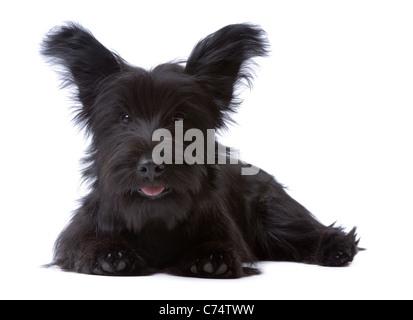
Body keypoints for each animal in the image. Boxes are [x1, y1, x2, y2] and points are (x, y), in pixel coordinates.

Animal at [41, 22, 358, 278]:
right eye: (125, 117)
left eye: (180, 118)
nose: (150, 165)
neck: (156, 217)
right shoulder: (79, 231)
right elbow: (84, 242)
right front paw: (108, 252)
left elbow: (222, 243)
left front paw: (211, 256)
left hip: (274, 212)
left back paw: (336, 247)